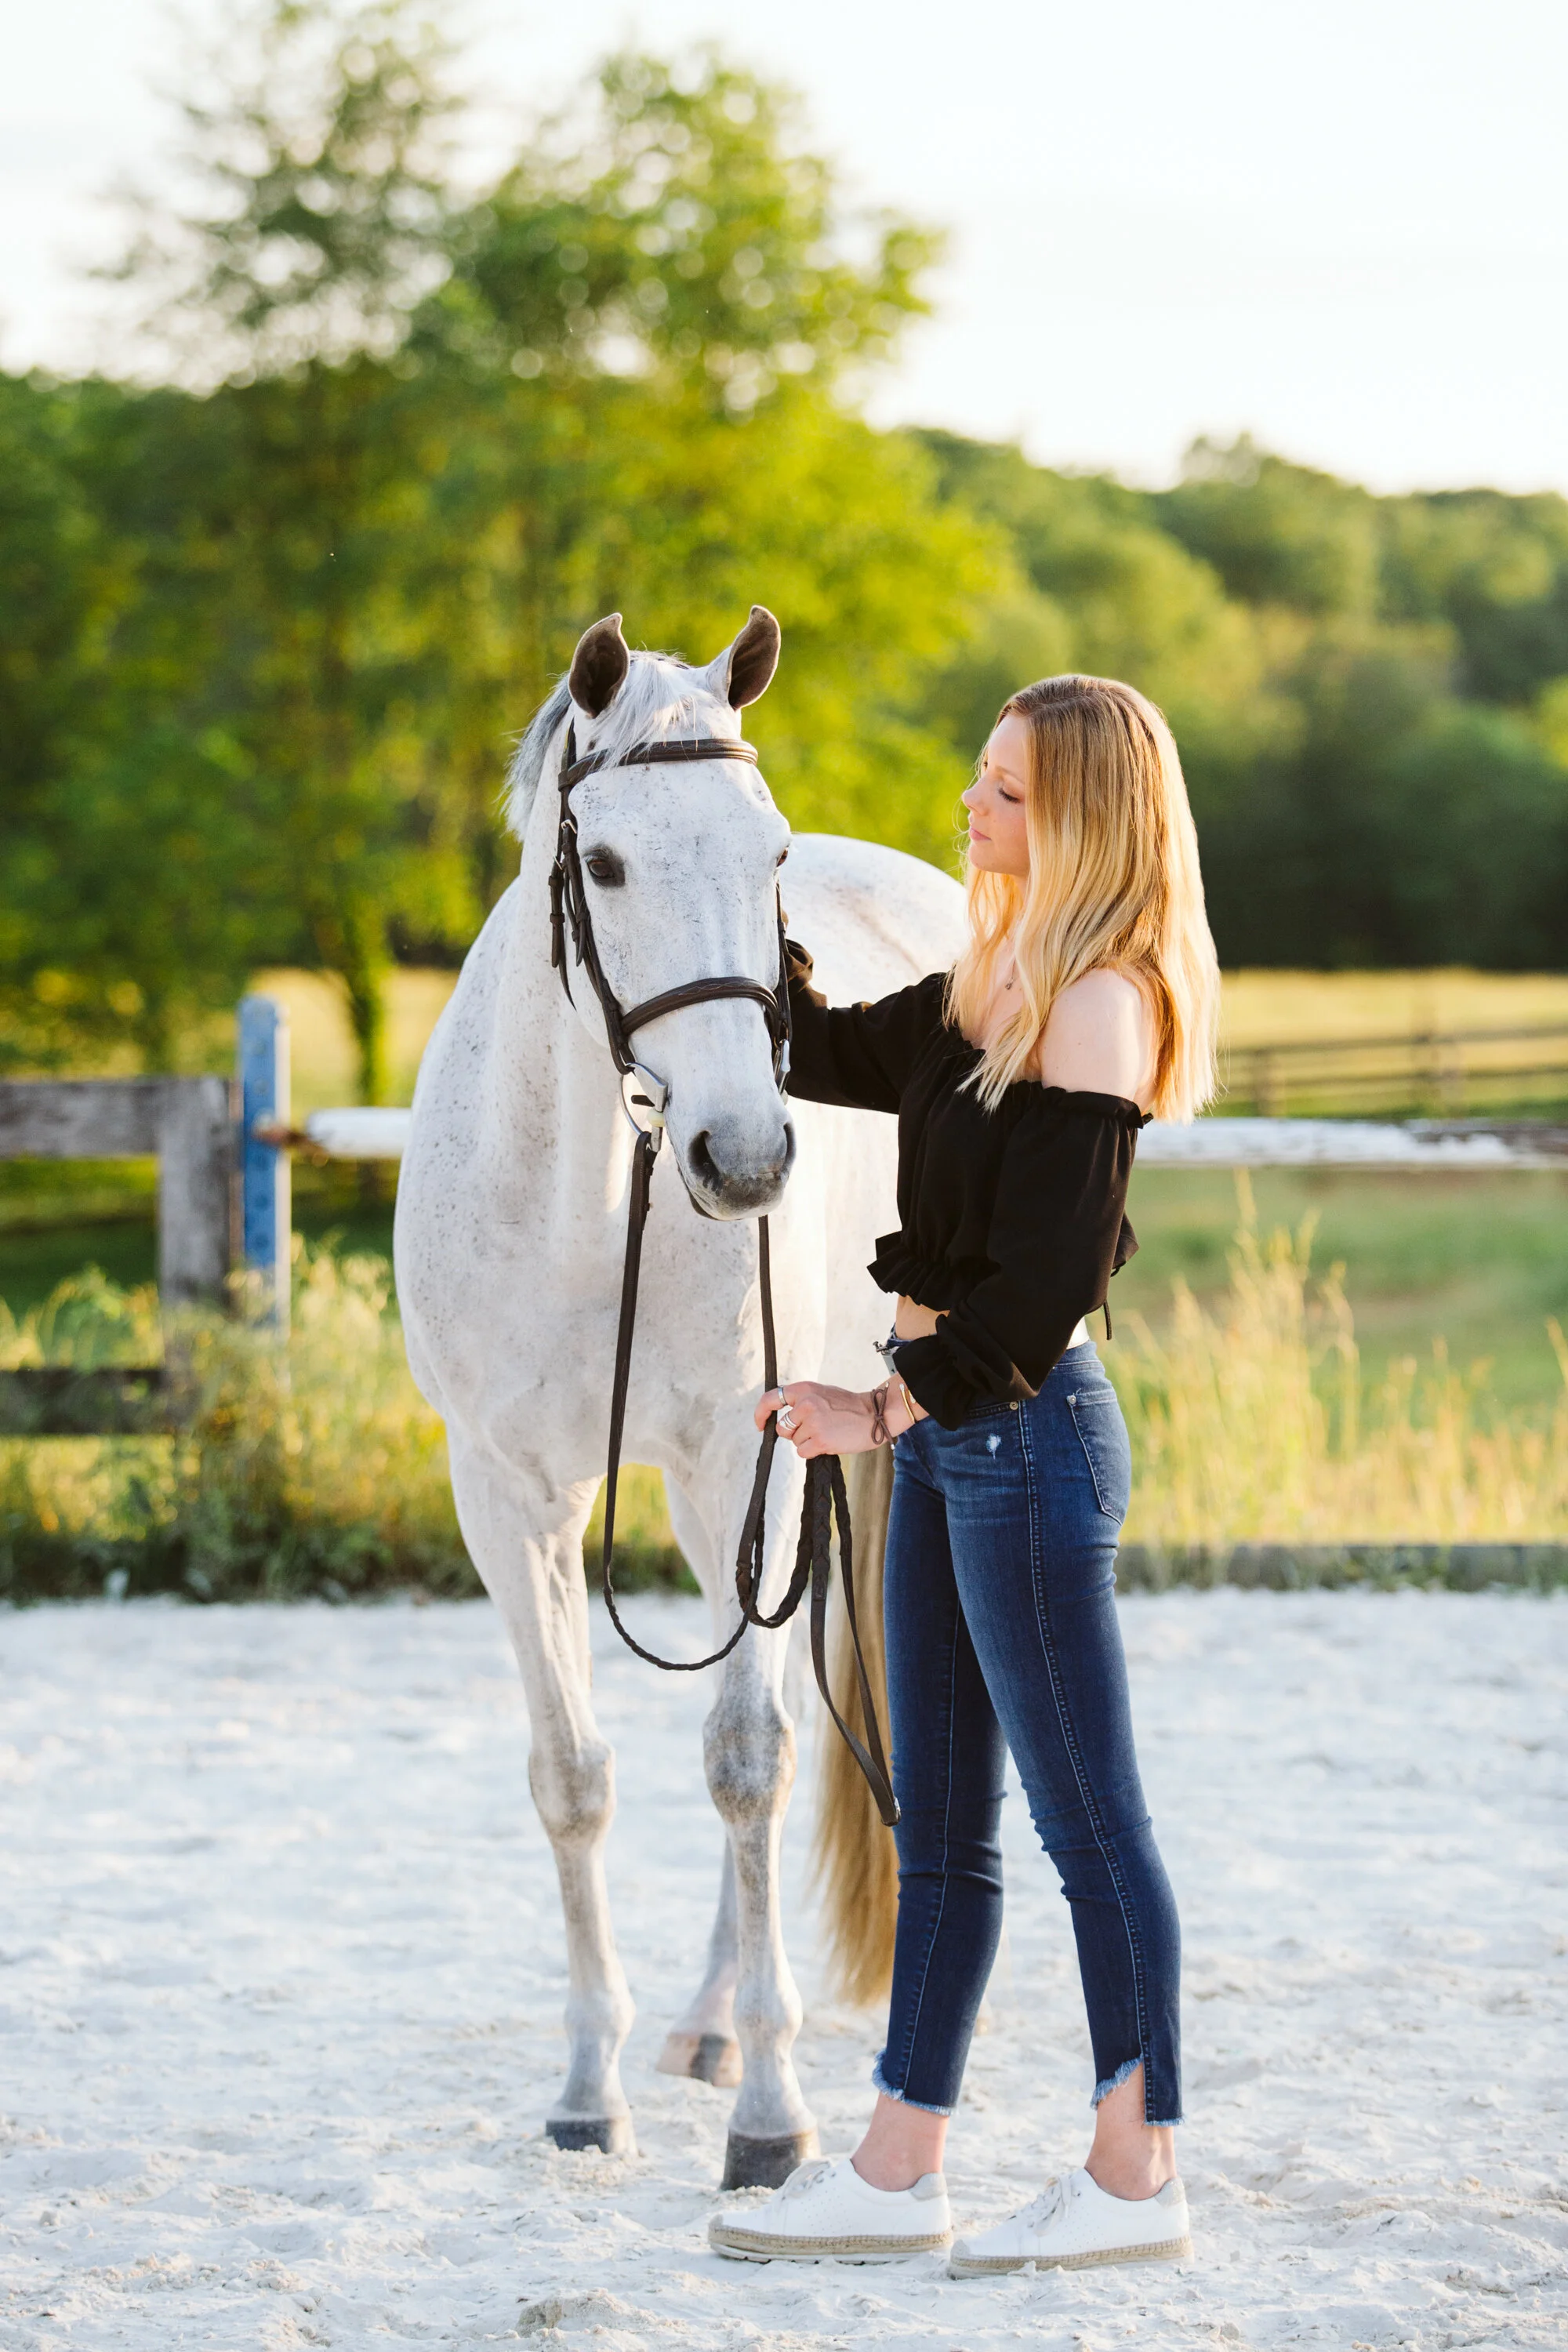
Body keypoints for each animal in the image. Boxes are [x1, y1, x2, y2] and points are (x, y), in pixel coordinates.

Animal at [393, 606, 965, 2188]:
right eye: (602, 863)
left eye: (769, 852)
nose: (746, 1156)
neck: (592, 1196)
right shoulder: (507, 1493)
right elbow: (575, 1776)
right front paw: (589, 2090)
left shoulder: (736, 1466)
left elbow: (748, 1764)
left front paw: (773, 2118)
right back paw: (704, 2026)